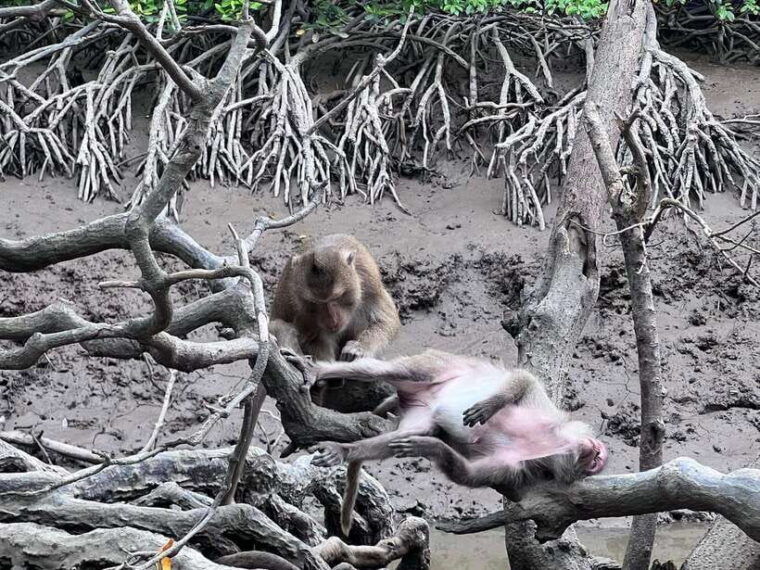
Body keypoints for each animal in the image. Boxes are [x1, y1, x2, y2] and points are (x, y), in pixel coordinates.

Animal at [270, 234, 401, 410]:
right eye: (316, 303)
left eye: (336, 298)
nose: (332, 320)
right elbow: (314, 337)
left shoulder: (369, 282)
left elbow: (386, 320)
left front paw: (359, 348)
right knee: (282, 327)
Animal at [308, 350, 608, 535]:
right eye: (594, 458)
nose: (596, 452)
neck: (546, 443)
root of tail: (419, 398)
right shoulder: (546, 414)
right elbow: (524, 380)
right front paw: (491, 405)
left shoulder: (517, 467)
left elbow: (468, 474)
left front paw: (432, 448)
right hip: (438, 366)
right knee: (389, 371)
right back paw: (319, 370)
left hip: (421, 414)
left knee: (401, 436)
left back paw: (346, 450)